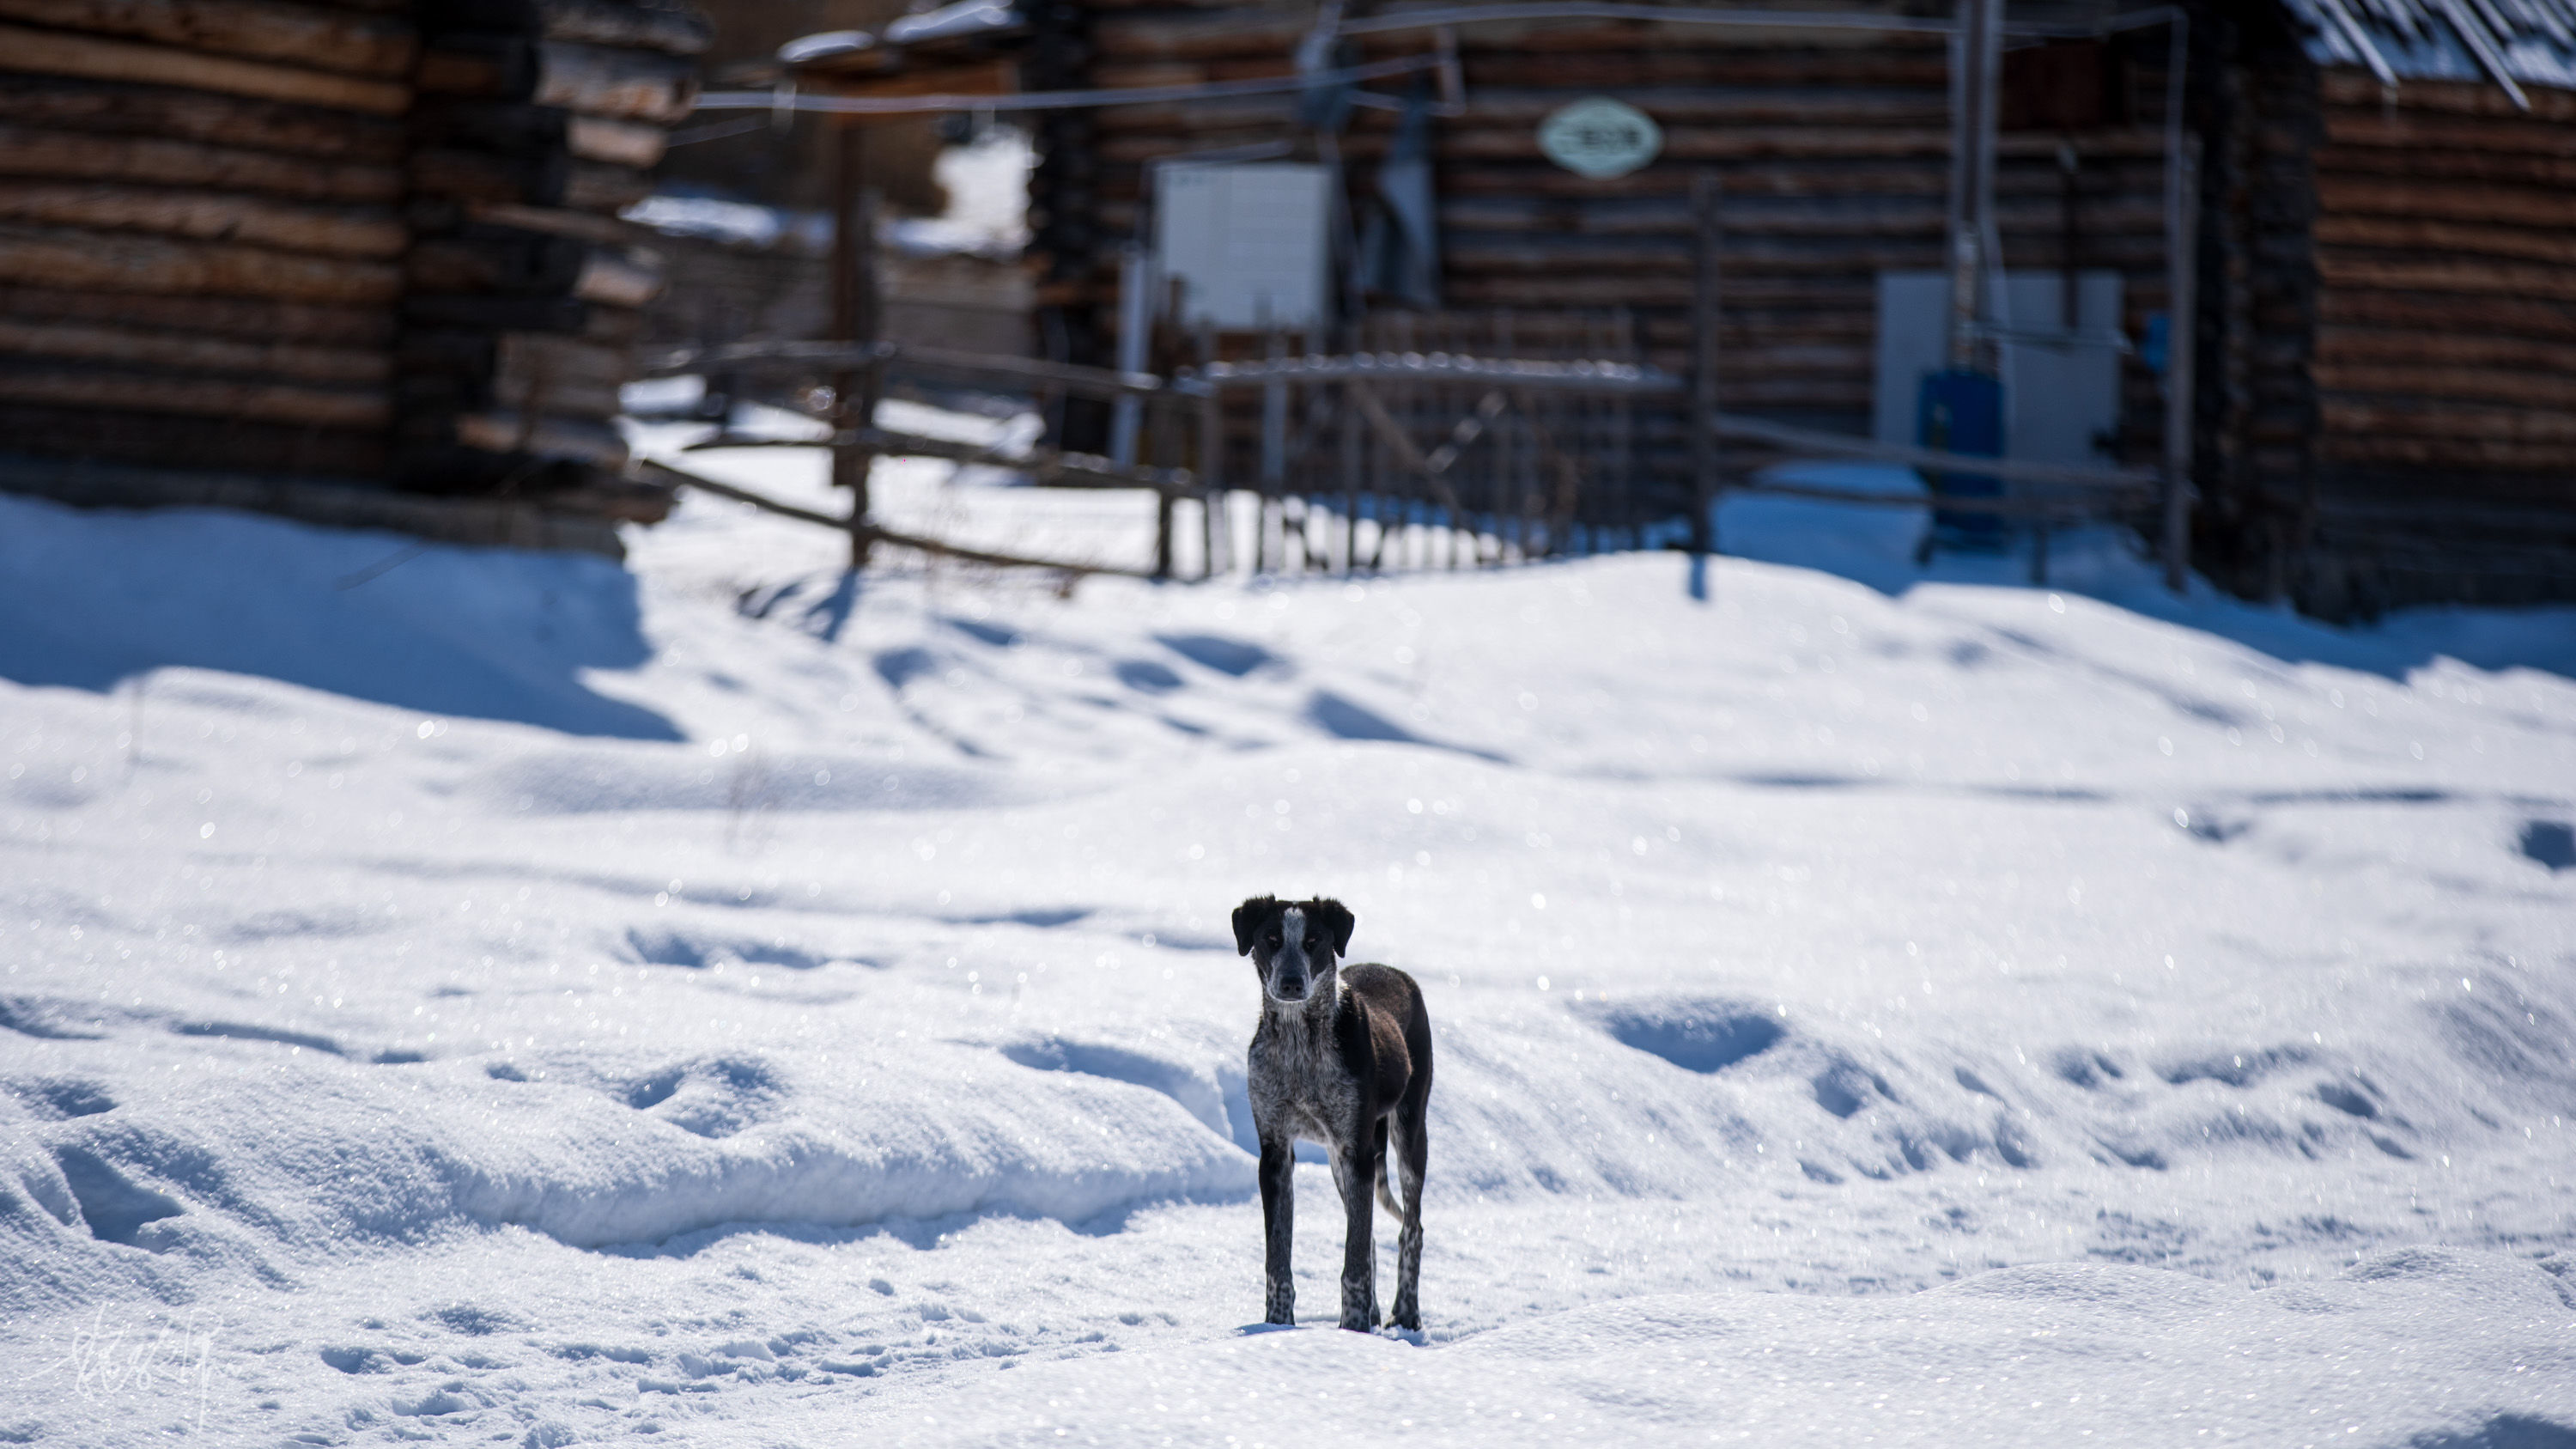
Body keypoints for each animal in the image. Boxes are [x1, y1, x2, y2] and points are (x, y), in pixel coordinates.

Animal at [1226, 892, 1432, 1330]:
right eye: (1271, 939)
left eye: (1313, 941)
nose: (1291, 983)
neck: (1299, 1043)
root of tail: (1398, 974)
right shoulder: (1275, 1152)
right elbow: (1278, 1259)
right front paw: (1277, 1325)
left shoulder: (1357, 1152)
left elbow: (1354, 1260)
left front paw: (1352, 1329)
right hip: (1340, 1160)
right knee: (1371, 1235)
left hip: (1407, 1133)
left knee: (1412, 1229)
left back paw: (1405, 1313)